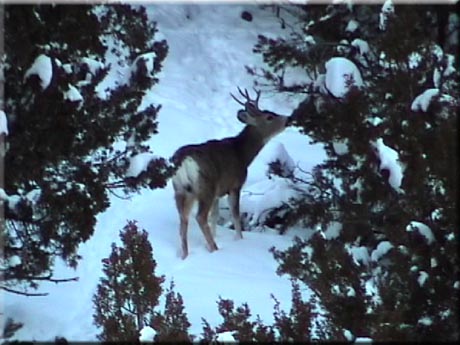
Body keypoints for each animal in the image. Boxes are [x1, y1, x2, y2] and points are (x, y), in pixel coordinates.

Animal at [171, 88, 290, 258]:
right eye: (269, 117)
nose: (289, 118)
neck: (242, 154)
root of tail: (183, 160)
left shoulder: (217, 193)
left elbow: (215, 216)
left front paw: (214, 237)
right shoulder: (235, 185)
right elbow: (235, 214)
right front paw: (239, 239)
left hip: (181, 190)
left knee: (184, 219)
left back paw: (185, 255)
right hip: (205, 187)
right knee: (200, 217)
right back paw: (214, 249)